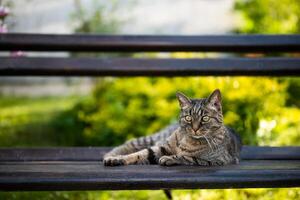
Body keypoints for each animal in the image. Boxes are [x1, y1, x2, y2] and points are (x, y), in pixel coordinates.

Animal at [103, 90, 241, 166]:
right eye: (188, 118)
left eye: (205, 118)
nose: (195, 129)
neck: (188, 140)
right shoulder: (162, 147)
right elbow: (139, 154)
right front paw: (118, 159)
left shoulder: (218, 160)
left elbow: (188, 157)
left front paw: (169, 158)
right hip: (152, 139)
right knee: (130, 143)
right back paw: (111, 155)